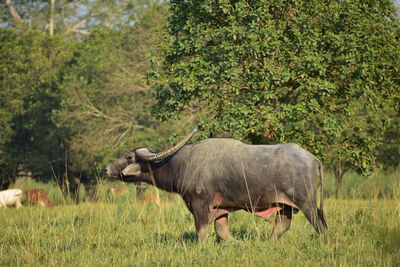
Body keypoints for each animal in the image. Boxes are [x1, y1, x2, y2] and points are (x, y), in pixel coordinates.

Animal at [104, 127, 326, 243]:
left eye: (129, 156)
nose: (107, 169)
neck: (180, 163)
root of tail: (313, 159)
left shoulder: (200, 204)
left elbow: (201, 231)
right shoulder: (221, 209)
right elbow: (222, 231)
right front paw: (238, 243)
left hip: (306, 202)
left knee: (319, 224)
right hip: (285, 205)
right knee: (282, 225)